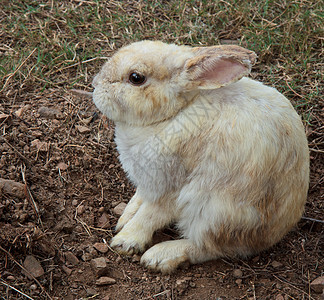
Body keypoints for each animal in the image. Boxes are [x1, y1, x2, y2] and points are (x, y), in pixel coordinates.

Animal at [91, 40, 308, 274]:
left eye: (136, 78)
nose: (95, 84)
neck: (175, 112)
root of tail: (277, 232)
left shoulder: (169, 188)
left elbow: (149, 216)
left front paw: (124, 241)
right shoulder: (148, 184)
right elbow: (138, 201)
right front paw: (123, 219)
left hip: (213, 213)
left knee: (208, 248)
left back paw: (159, 257)